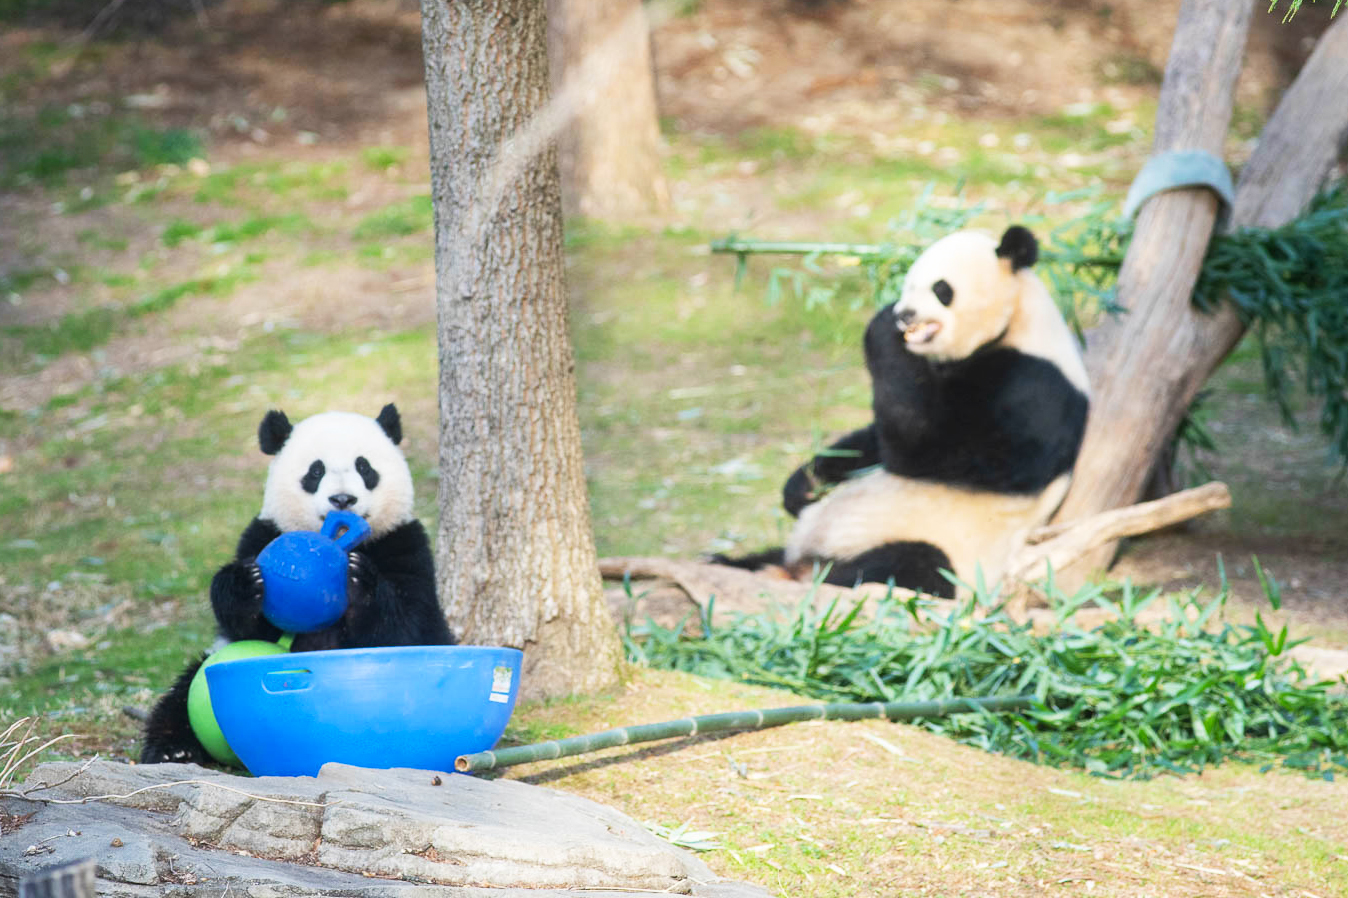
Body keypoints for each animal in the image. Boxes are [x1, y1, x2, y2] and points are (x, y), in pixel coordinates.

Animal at [141, 404, 450, 760]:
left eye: (364, 467)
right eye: (315, 472)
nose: (342, 499)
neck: (340, 540)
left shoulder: (404, 544)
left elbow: (406, 626)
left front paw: (359, 580)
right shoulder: (263, 534)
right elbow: (249, 628)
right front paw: (245, 584)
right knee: (182, 692)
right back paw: (172, 750)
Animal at [717, 227, 1083, 598]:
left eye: (941, 289)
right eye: (908, 284)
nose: (904, 314)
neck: (1016, 325)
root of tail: (803, 567)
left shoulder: (1033, 390)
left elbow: (929, 449)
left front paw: (882, 326)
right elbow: (872, 440)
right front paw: (803, 487)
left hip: (950, 556)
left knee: (909, 565)